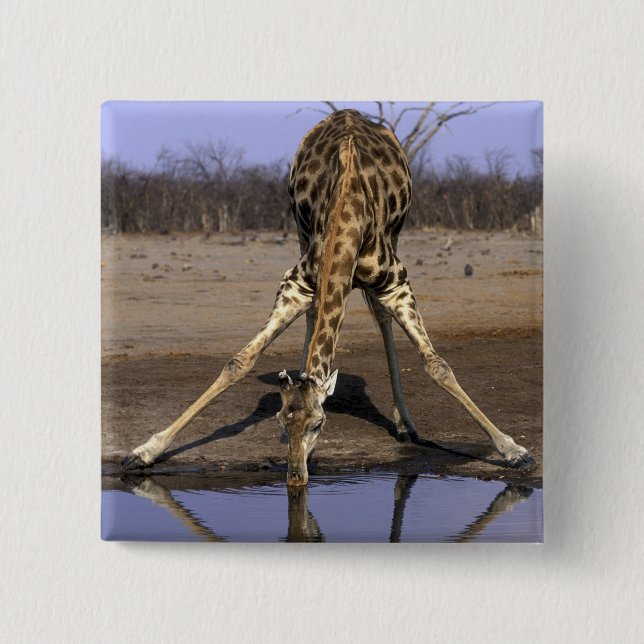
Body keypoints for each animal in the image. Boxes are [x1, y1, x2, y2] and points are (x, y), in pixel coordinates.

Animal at [122, 109, 535, 485]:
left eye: (320, 423)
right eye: (280, 421)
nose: (295, 477)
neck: (348, 210)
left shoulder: (396, 283)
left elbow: (438, 367)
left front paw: (515, 451)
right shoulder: (296, 283)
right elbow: (239, 362)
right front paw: (143, 451)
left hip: (395, 239)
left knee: (381, 319)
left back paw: (405, 425)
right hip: (299, 229)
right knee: (316, 314)